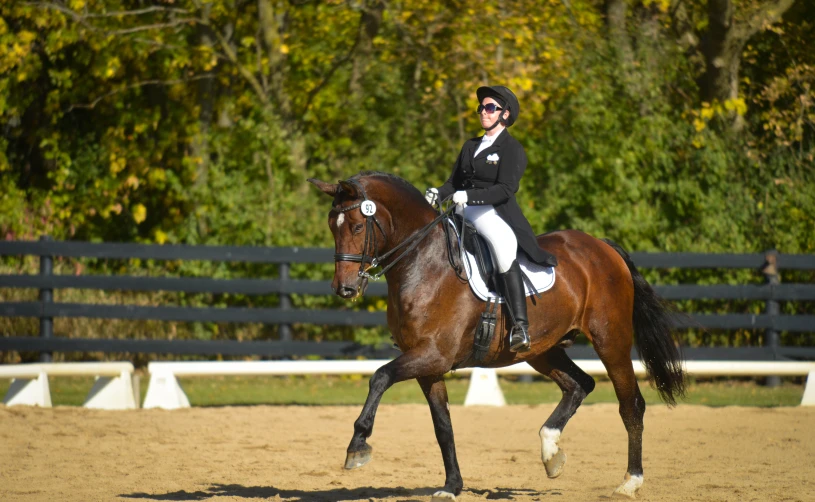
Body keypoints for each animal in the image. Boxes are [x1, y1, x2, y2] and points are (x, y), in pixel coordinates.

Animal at [310, 172, 684, 498]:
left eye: (358, 226)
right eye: (331, 226)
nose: (344, 288)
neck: (423, 263)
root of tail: (601, 247)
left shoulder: (433, 354)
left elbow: (380, 376)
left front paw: (357, 447)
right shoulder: (428, 365)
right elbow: (443, 426)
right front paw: (452, 486)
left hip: (611, 341)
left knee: (630, 404)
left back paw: (630, 482)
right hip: (542, 351)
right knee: (580, 384)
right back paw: (551, 453)